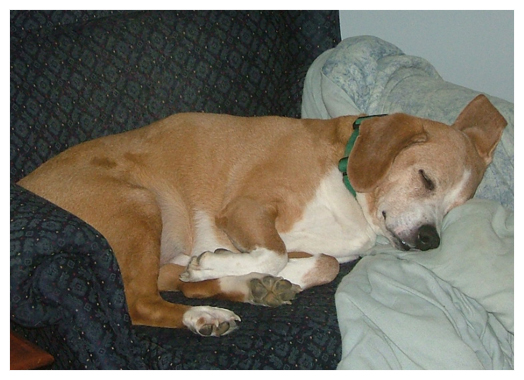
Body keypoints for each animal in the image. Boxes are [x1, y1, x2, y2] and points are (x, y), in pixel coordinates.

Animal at [18, 94, 506, 336]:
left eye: (454, 208)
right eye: (426, 179)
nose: (430, 239)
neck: (345, 175)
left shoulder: (319, 246)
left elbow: (323, 264)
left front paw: (255, 273)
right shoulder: (245, 209)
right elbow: (274, 250)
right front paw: (217, 262)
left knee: (166, 283)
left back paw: (247, 288)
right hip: (137, 204)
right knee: (139, 302)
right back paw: (204, 312)